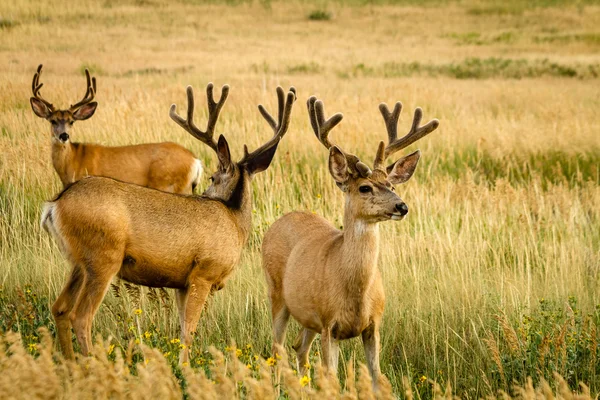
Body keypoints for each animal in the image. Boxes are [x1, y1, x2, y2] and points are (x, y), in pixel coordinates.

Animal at [29, 65, 203, 195]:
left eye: (71, 121)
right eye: (53, 120)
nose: (64, 135)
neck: (74, 161)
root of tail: (195, 161)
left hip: (172, 186)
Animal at [39, 83, 296, 362]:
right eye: (213, 176)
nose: (202, 193)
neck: (234, 222)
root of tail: (55, 205)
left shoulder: (181, 282)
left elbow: (183, 328)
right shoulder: (203, 272)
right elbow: (190, 329)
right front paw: (185, 368)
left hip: (78, 262)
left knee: (60, 308)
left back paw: (71, 363)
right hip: (103, 256)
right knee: (81, 316)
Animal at [262, 95, 436, 390]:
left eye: (391, 185)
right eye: (365, 187)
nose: (402, 206)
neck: (354, 290)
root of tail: (281, 219)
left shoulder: (373, 325)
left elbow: (378, 378)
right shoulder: (329, 325)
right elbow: (332, 379)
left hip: (308, 317)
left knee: (299, 347)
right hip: (276, 294)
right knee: (277, 350)